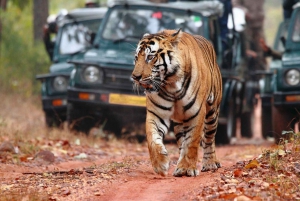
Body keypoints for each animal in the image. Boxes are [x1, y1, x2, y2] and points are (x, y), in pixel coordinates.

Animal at [131, 29, 223, 177]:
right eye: (136, 58)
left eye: (150, 57)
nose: (135, 77)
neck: (171, 85)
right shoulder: (156, 113)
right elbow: (152, 139)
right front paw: (160, 164)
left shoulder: (196, 113)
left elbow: (192, 142)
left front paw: (187, 168)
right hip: (180, 122)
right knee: (182, 141)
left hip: (212, 112)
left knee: (209, 138)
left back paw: (210, 163)